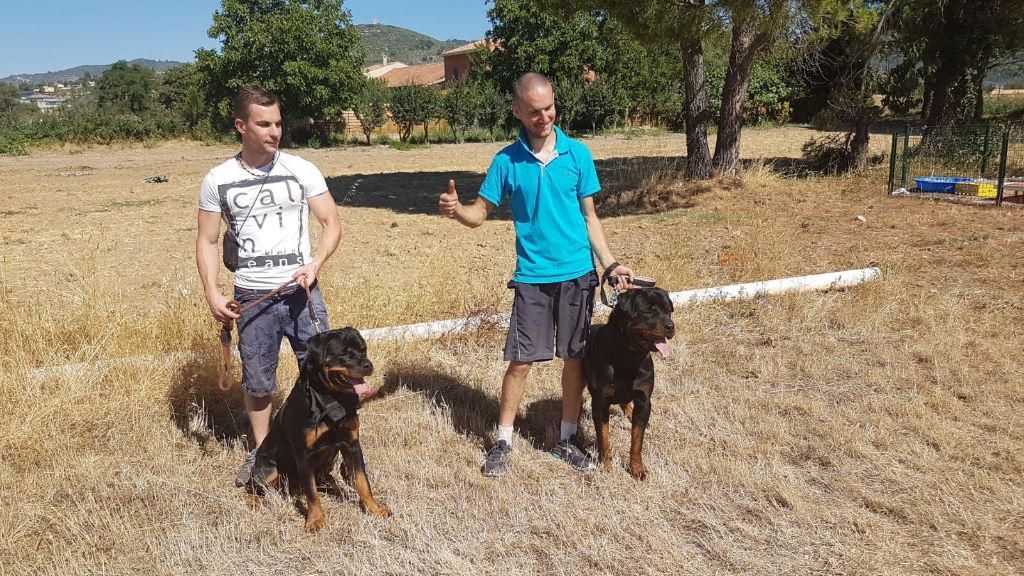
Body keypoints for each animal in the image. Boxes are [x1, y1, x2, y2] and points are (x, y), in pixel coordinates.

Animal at [247, 325, 391, 532]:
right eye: (344, 354)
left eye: (363, 350)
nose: (368, 365)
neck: (331, 398)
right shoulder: (304, 454)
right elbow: (311, 493)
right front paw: (315, 520)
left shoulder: (352, 444)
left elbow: (362, 482)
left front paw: (374, 509)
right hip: (268, 470)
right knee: (254, 485)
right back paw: (254, 500)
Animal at [581, 284, 675, 477]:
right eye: (649, 311)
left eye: (668, 311)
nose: (671, 326)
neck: (628, 357)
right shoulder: (600, 402)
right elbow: (604, 437)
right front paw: (607, 466)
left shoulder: (644, 399)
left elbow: (637, 440)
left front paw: (637, 469)